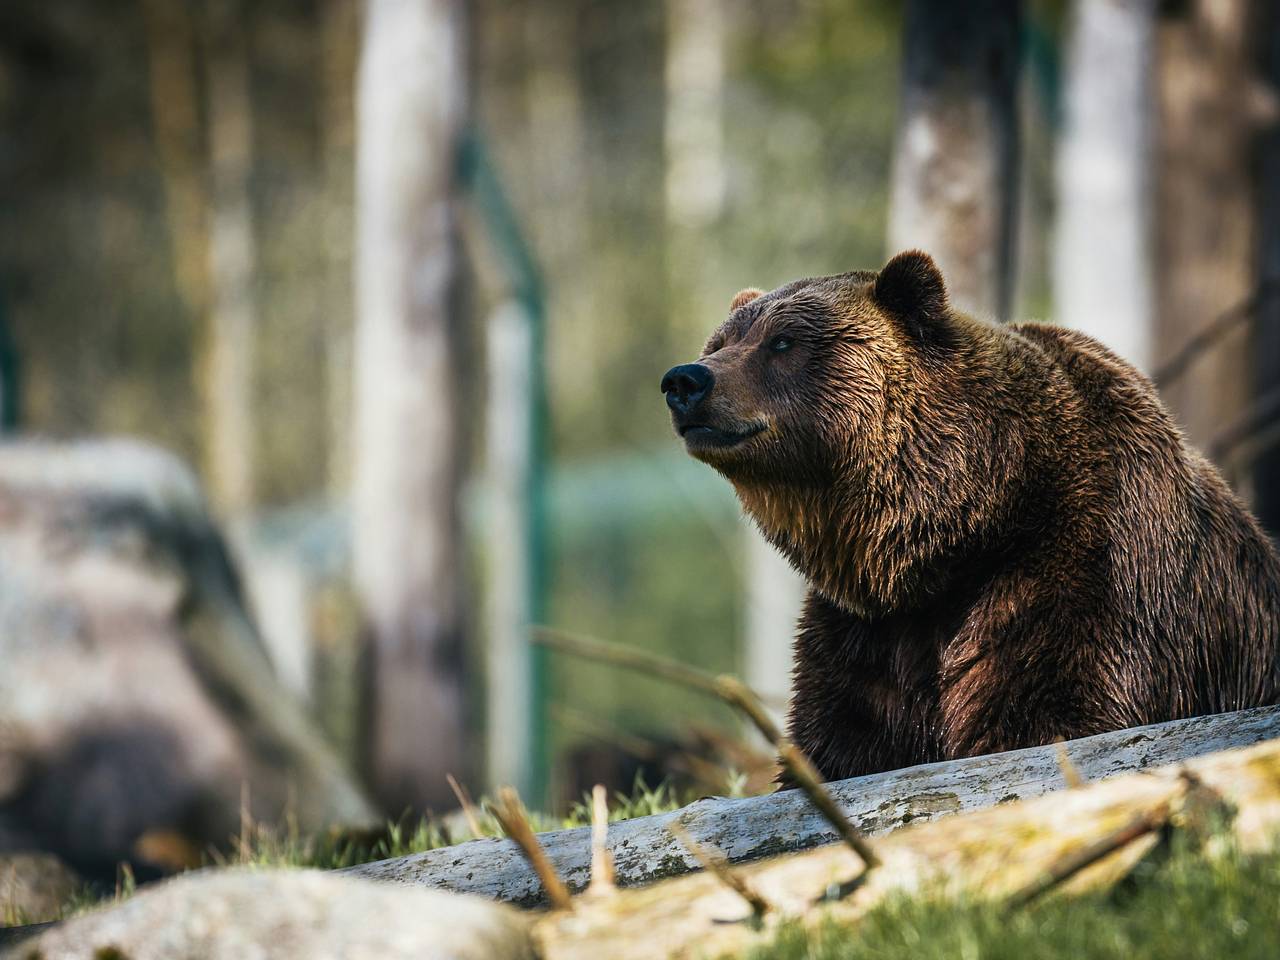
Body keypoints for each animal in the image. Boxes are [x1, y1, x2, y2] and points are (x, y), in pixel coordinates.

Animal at [660, 252, 1280, 783]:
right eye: (721, 341)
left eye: (783, 341)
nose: (686, 380)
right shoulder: (868, 633)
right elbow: (841, 740)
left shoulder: (1085, 569)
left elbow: (1051, 712)